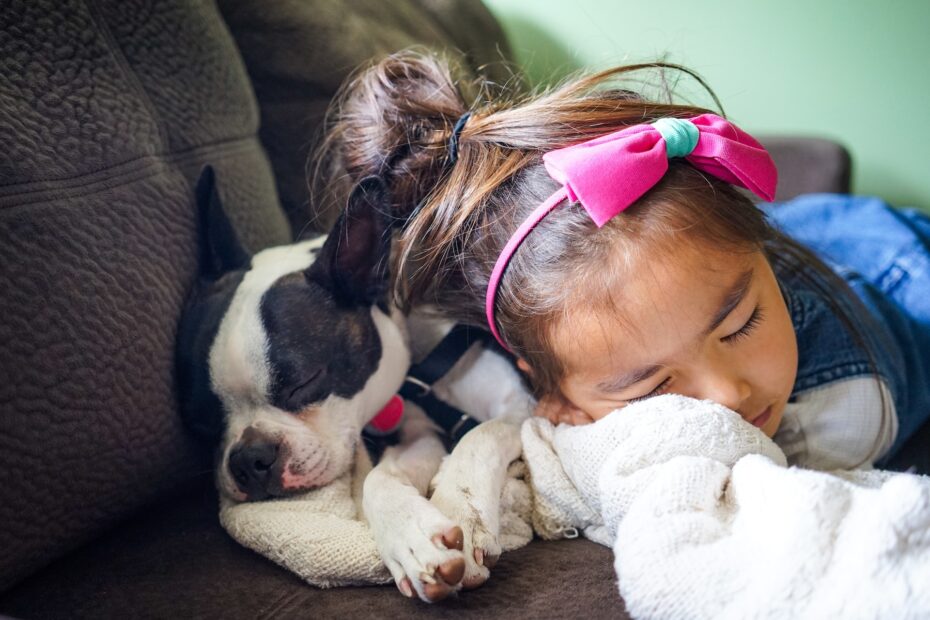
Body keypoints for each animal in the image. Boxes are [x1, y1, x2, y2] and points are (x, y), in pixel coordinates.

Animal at [176, 167, 528, 604]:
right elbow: (380, 478)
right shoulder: (416, 431)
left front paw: (463, 510)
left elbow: (482, 435)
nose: (248, 459)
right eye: (201, 422)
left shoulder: (521, 402)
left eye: (304, 383)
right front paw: (411, 538)